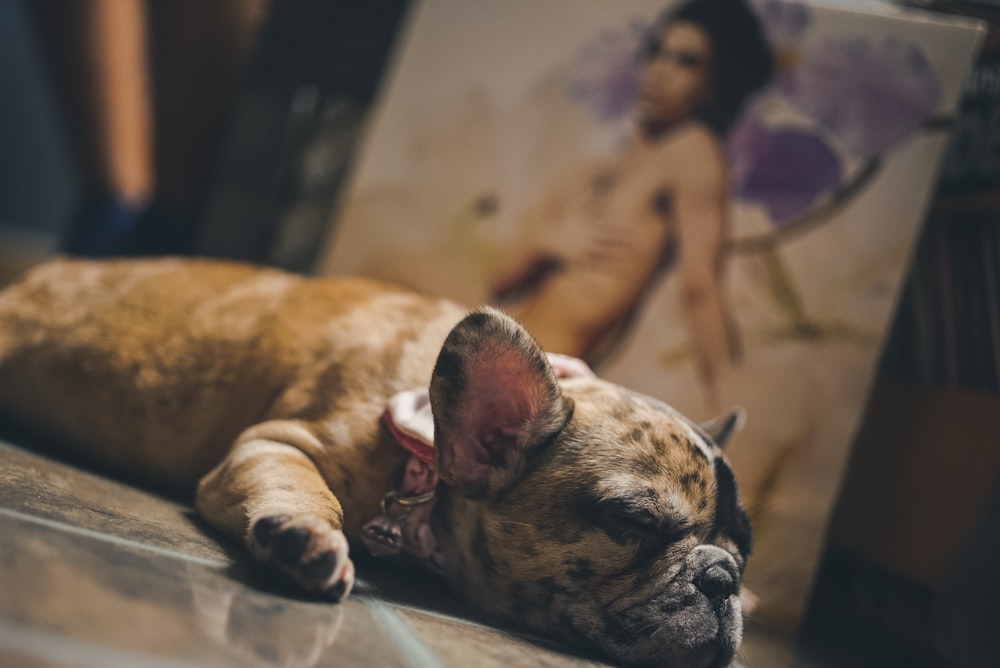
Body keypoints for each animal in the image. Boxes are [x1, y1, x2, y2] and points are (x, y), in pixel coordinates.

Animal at [0, 258, 752, 664]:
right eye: (633, 525)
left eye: (743, 553)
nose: (724, 578)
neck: (434, 444)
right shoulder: (277, 444)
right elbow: (307, 488)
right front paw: (306, 534)